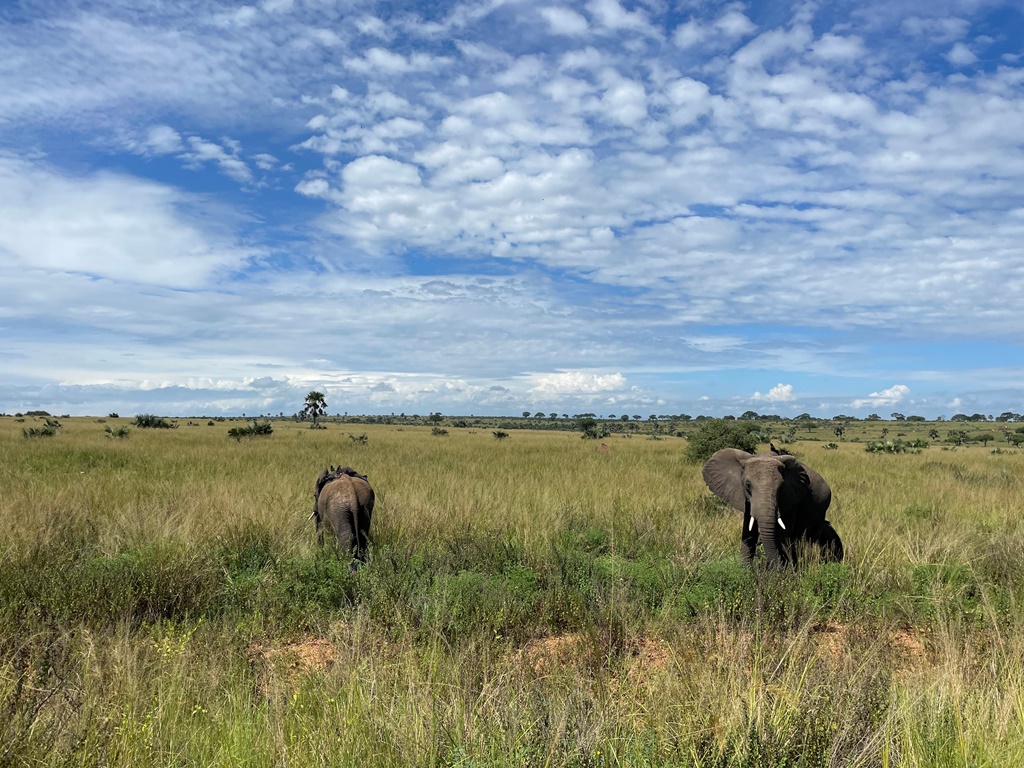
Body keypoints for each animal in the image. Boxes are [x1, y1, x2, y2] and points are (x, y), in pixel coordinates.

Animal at [700, 448, 843, 569]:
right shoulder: (746, 499)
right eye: (747, 485)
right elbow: (748, 532)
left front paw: (783, 573)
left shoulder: (791, 498)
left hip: (821, 511)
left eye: (780, 487)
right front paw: (746, 572)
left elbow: (782, 536)